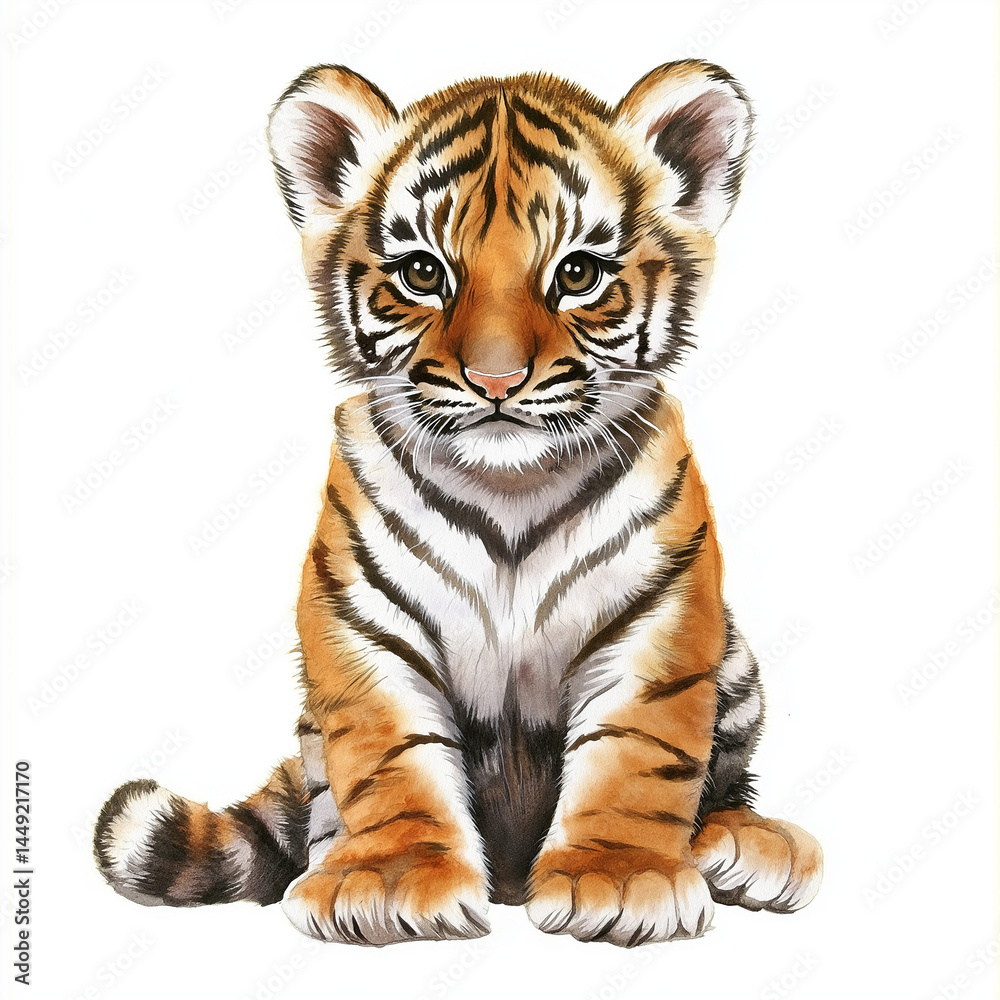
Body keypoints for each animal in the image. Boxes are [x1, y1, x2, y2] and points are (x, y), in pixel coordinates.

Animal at [94, 59, 823, 948]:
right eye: (422, 273)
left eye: (577, 274)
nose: (496, 380)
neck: (510, 490)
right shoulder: (365, 624)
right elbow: (390, 758)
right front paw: (388, 883)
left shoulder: (656, 619)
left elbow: (636, 753)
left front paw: (619, 879)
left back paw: (750, 847)